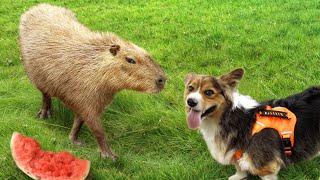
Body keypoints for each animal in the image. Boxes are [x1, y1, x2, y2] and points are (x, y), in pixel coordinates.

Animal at [184, 68, 318, 179]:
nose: (190, 101)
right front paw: (238, 176)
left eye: (209, 92)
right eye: (190, 88)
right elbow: (239, 168)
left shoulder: (265, 167)